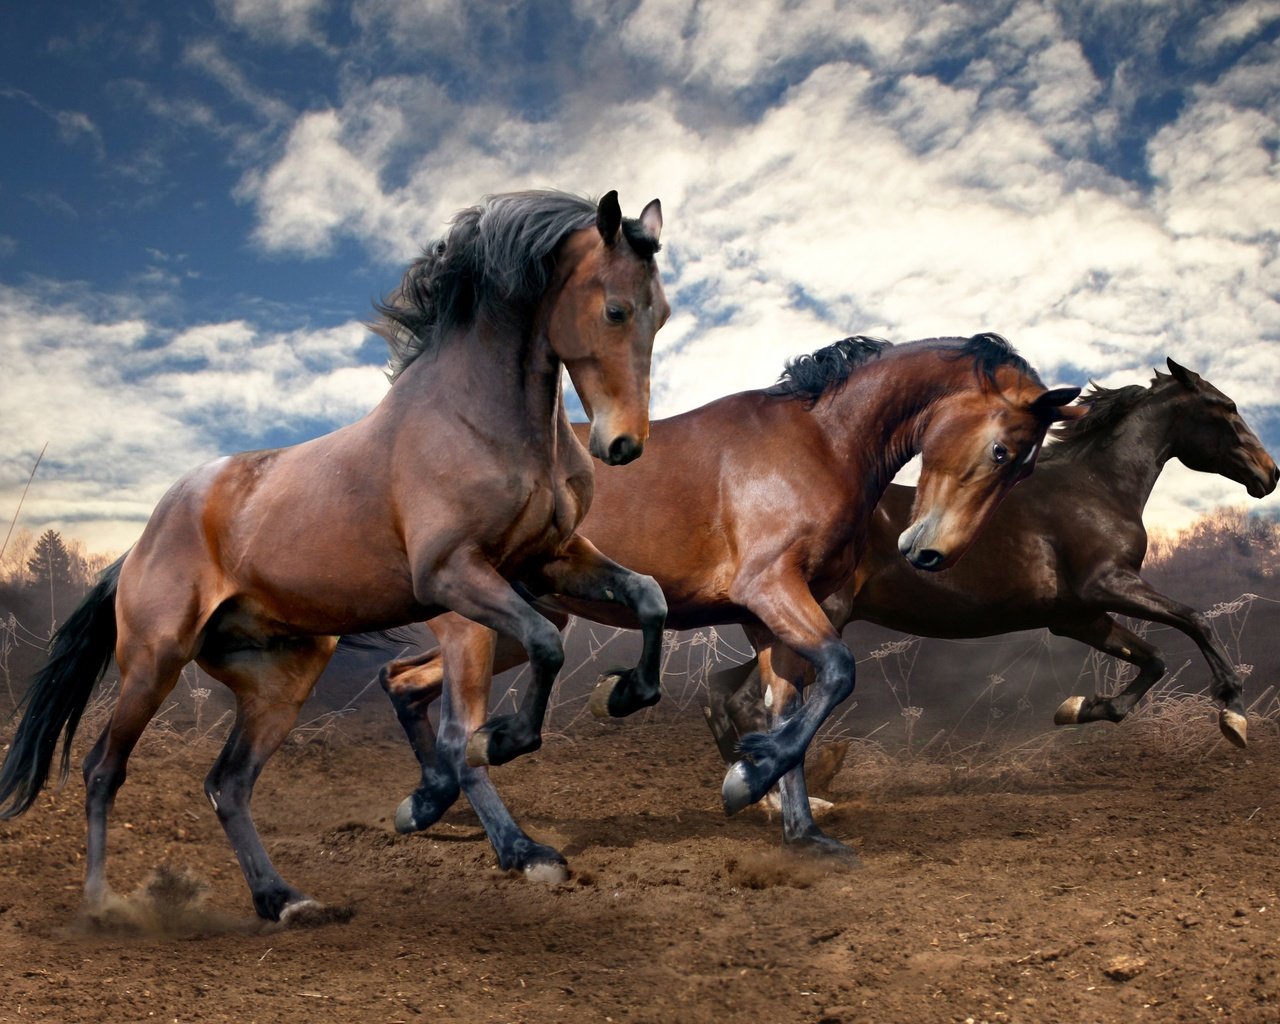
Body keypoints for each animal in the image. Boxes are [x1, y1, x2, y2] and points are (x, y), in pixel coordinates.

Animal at [0, 188, 675, 921]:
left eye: (662, 314)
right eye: (615, 309)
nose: (624, 445)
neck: (481, 420)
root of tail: (138, 545)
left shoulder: (548, 560)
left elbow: (648, 597)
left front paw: (625, 693)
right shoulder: (453, 576)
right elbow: (528, 670)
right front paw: (506, 780)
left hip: (280, 677)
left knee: (227, 784)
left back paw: (283, 899)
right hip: (154, 662)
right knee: (104, 769)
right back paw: (102, 902)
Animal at [376, 332, 1080, 875]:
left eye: (1021, 469)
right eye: (1001, 451)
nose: (931, 554)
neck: (822, 442)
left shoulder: (772, 618)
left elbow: (790, 705)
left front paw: (800, 828)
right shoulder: (770, 589)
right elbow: (838, 673)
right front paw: (748, 778)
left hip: (524, 624)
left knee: (404, 683)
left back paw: (426, 802)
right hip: (477, 627)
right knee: (457, 731)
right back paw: (521, 851)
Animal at [711, 358, 1280, 793]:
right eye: (1226, 407)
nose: (1269, 474)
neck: (1096, 488)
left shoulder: (1079, 616)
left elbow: (1154, 658)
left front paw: (1079, 708)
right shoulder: (1107, 585)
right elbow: (1195, 620)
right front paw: (1233, 715)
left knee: (725, 695)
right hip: (821, 621)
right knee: (749, 701)